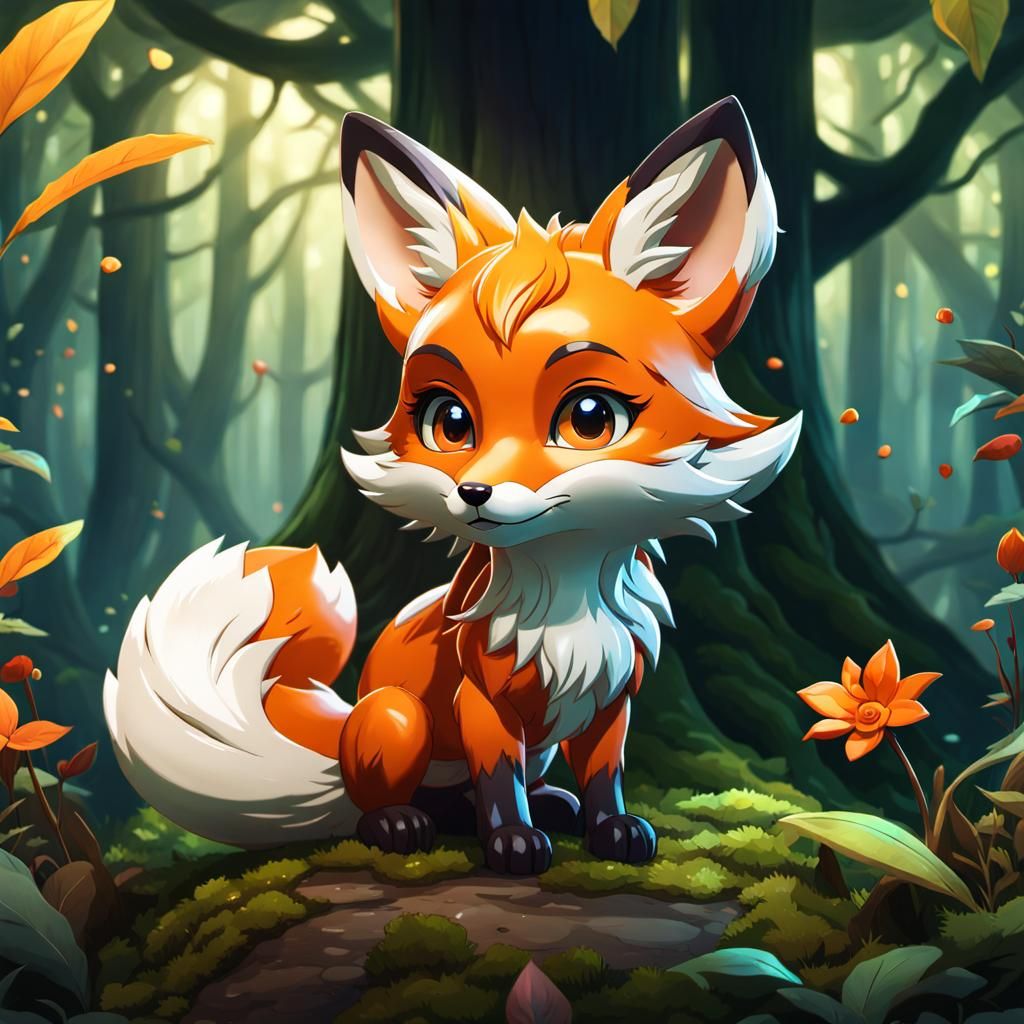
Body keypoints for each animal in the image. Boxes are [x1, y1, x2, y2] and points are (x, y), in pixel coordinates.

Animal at [104, 96, 801, 875]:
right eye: (450, 422)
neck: (565, 604)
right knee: (389, 803)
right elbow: (497, 774)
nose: (472, 494)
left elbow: (605, 775)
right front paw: (513, 844)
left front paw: (614, 831)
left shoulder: (610, 697)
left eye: (591, 417)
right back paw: (406, 823)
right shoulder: (480, 698)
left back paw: (546, 808)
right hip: (396, 718)